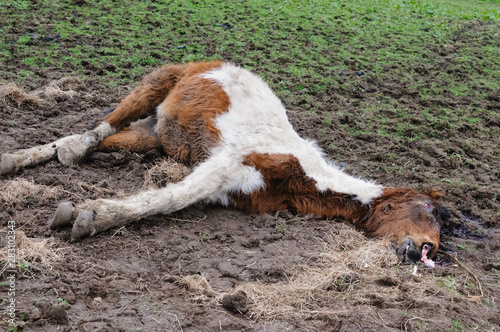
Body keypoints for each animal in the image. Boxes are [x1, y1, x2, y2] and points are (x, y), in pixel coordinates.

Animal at [0, 61, 452, 264]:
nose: (426, 250)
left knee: (103, 139)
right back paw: (50, 154)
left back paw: (21, 158)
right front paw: (91, 216)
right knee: (97, 128)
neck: (304, 175)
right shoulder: (225, 164)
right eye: (428, 209)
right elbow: (170, 198)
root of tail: (210, 63)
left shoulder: (231, 190)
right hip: (154, 85)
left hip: (152, 136)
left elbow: (179, 197)